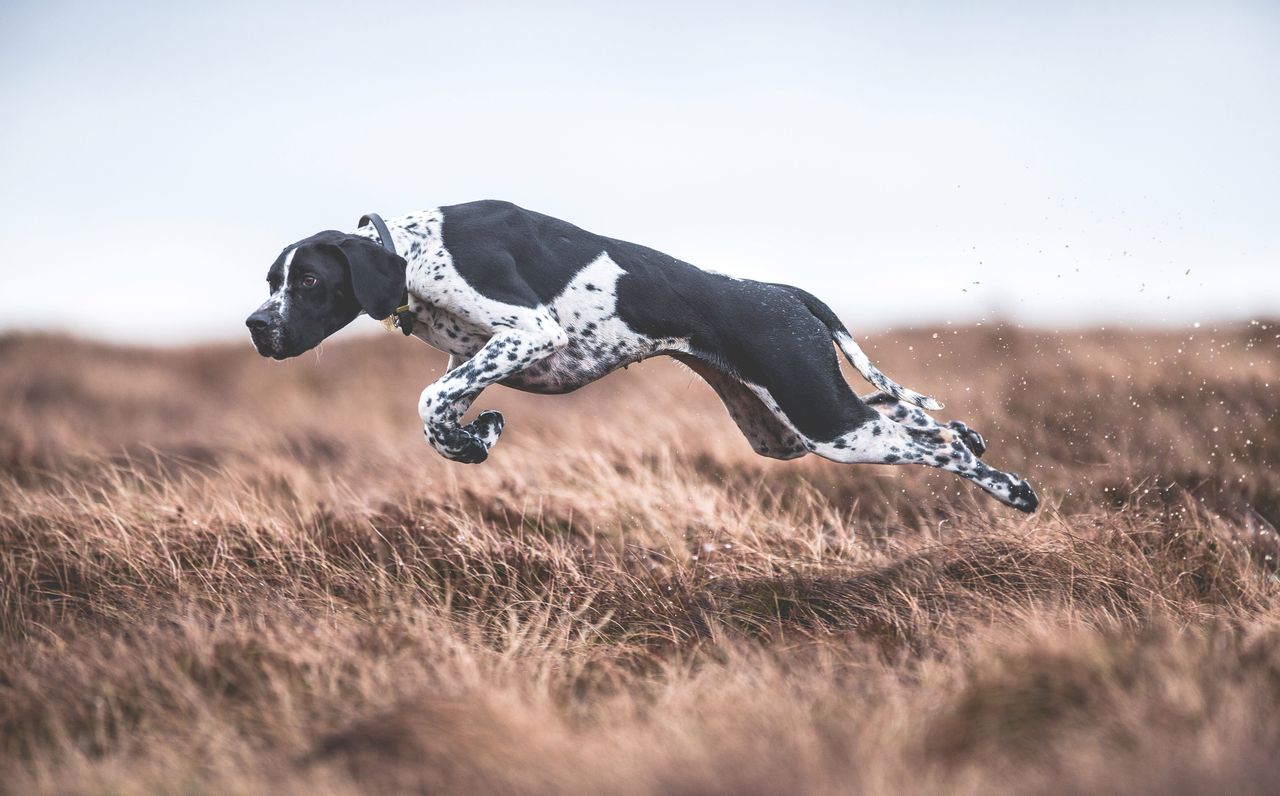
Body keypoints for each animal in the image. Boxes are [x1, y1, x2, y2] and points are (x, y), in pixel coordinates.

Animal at [241, 198, 1039, 511]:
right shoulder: (484, 354)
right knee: (919, 420)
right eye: (272, 281)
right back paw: (966, 433)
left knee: (935, 445)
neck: (410, 250)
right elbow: (442, 407)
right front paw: (476, 436)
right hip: (784, 425)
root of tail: (783, 292)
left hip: (824, 422)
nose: (254, 325)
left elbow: (428, 401)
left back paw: (1013, 490)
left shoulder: (530, 331)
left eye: (307, 283)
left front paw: (474, 437)